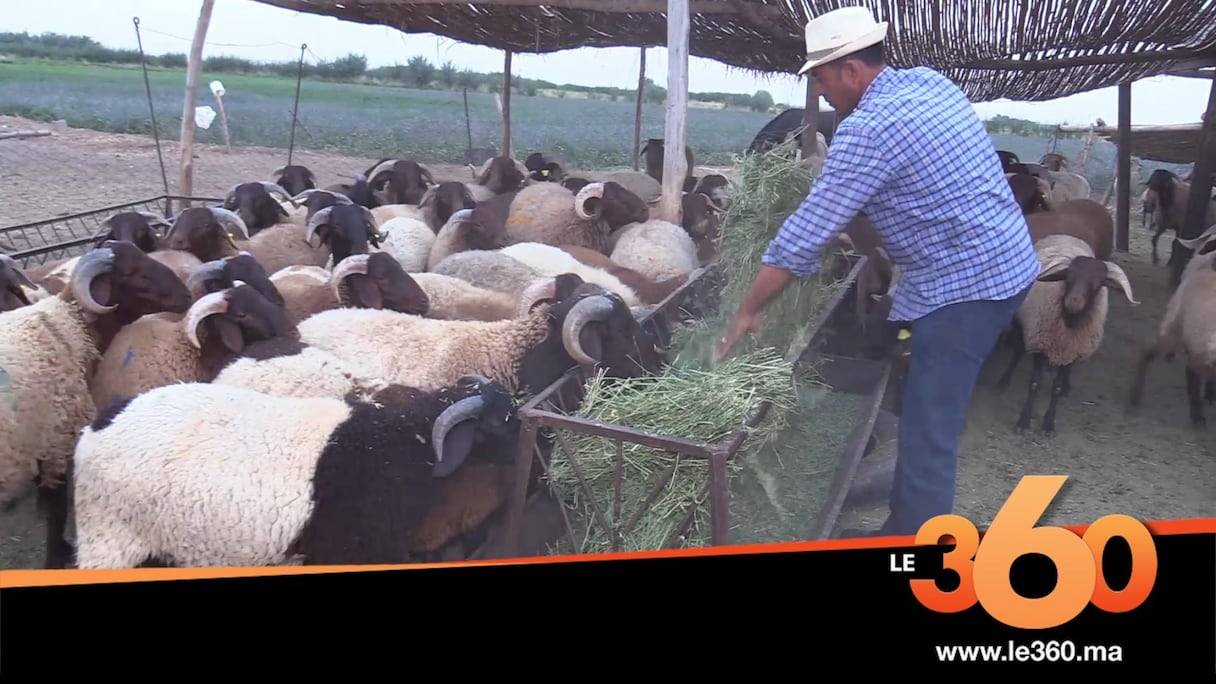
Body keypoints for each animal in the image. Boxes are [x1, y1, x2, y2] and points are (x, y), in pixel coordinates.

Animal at [0, 242, 193, 567]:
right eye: (132, 272)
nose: (188, 295)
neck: (70, 326)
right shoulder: (56, 436)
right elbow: (56, 508)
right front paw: (56, 556)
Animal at [67, 372, 522, 564]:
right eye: (499, 421)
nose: (523, 449)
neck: (404, 441)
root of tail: (98, 425)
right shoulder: (357, 547)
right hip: (108, 541)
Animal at [992, 231, 1133, 428]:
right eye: (1069, 274)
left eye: (1099, 282)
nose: (1073, 301)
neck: (1069, 324)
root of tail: (1065, 235)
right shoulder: (1040, 344)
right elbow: (1035, 383)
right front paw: (1024, 420)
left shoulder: (1074, 350)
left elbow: (1056, 387)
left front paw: (1049, 422)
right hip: (1023, 323)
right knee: (1017, 352)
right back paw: (1004, 382)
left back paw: (1067, 385)